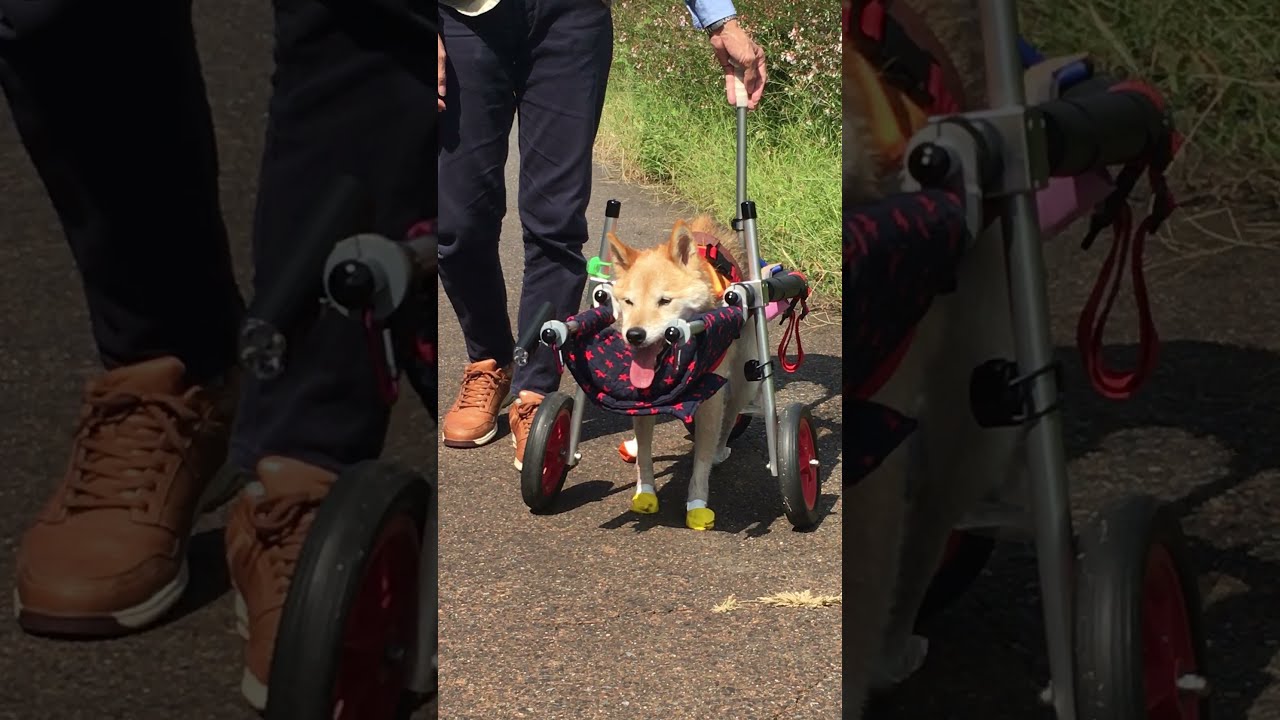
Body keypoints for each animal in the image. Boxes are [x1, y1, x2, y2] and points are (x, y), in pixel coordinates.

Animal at [604, 212, 752, 527]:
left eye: (664, 301)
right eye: (628, 301)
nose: (634, 335)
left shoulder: (711, 401)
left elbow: (701, 462)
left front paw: (696, 504)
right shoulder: (644, 396)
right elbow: (645, 456)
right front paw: (645, 492)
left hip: (746, 380)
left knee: (730, 417)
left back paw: (721, 449)